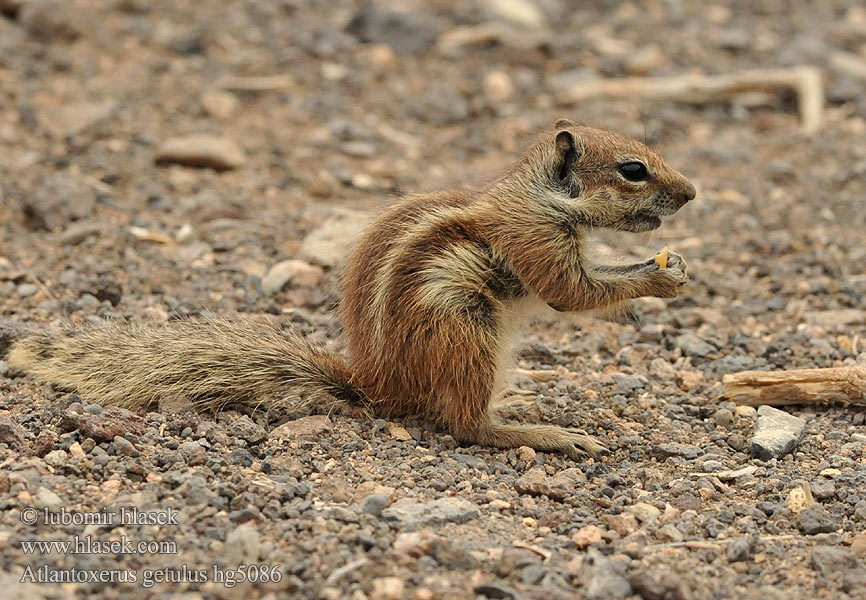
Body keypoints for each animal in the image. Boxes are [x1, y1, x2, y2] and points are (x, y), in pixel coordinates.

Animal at [8, 120, 696, 460]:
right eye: (633, 170)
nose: (692, 193)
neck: (540, 196)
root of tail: (379, 386)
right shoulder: (535, 240)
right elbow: (570, 293)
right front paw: (662, 277)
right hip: (465, 326)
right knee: (466, 426)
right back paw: (539, 433)